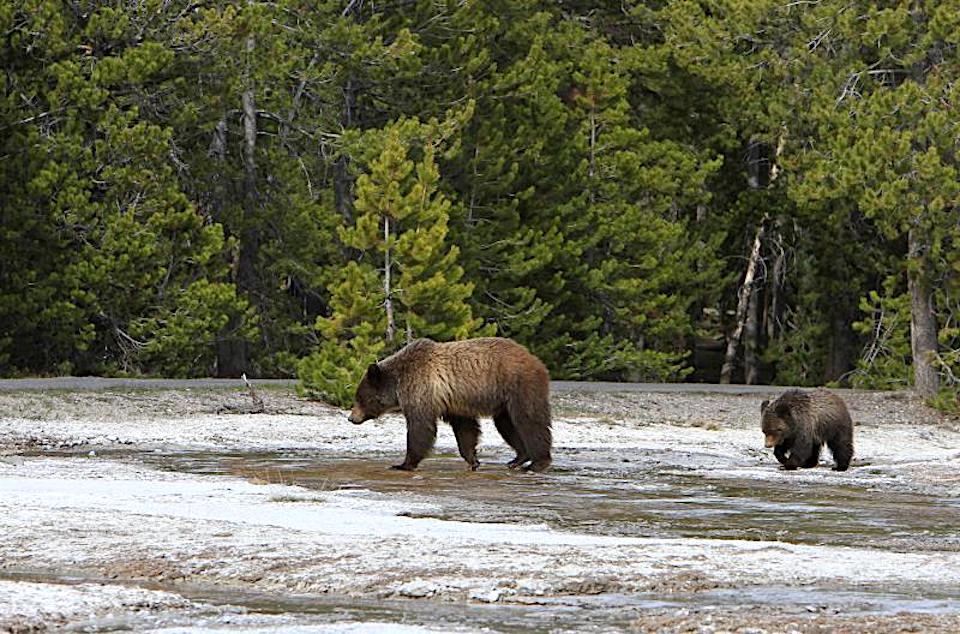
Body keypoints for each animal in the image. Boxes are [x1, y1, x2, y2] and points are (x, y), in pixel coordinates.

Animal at [347, 337, 552, 472]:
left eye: (359, 398)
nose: (351, 418)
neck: (397, 384)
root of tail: (534, 358)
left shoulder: (420, 389)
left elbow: (420, 428)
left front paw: (403, 464)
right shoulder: (454, 402)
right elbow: (465, 430)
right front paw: (473, 460)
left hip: (519, 384)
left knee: (529, 420)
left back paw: (537, 463)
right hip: (503, 401)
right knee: (507, 425)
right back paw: (518, 459)